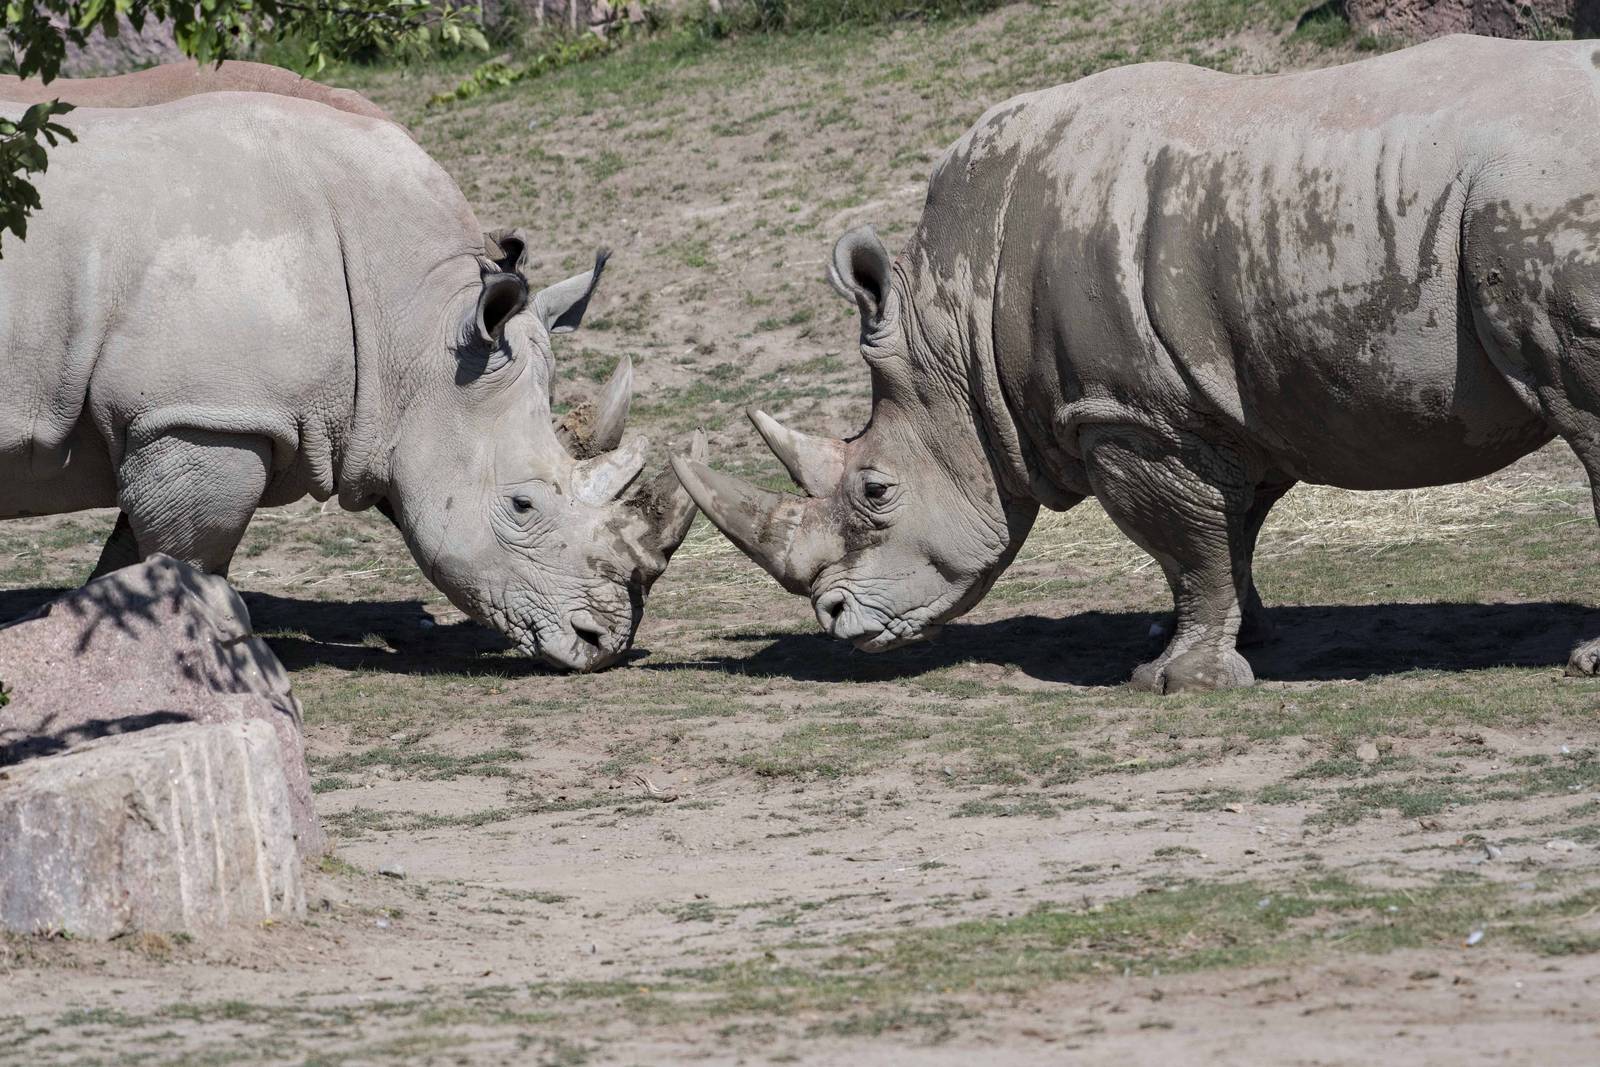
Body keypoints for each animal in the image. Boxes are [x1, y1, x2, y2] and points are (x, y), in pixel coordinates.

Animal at [0, 91, 702, 672]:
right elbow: (188, 558)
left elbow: (129, 559)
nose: (604, 645)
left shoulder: (168, 418)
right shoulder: (204, 417)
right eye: (521, 506)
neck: (419, 327)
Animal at [674, 35, 1600, 692]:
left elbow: (1186, 543)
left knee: (1586, 422)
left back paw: (1584, 665)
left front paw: (1173, 680)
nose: (833, 617)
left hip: (1534, 200)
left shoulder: (1124, 413)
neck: (958, 332)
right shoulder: (1219, 403)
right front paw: (1226, 637)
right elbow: (1227, 535)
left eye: (875, 490)